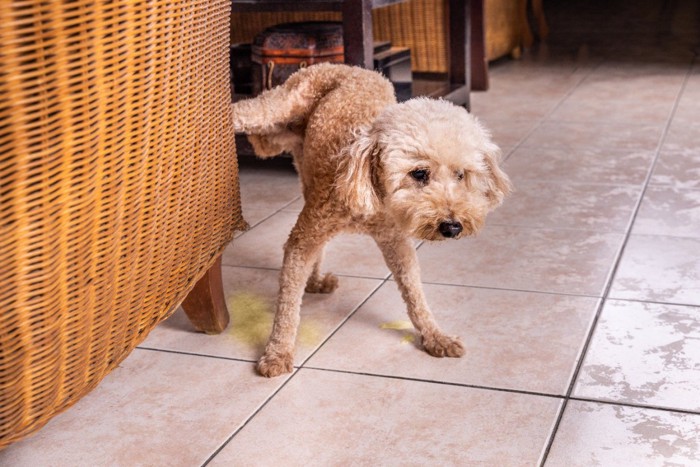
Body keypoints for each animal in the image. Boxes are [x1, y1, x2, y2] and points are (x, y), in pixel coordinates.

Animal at [232, 63, 512, 376]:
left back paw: (315, 281)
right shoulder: (304, 239)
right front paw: (278, 352)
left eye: (461, 175)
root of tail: (345, 66)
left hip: (304, 169)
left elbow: (415, 294)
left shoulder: (395, 243)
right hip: (282, 105)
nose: (452, 226)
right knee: (246, 110)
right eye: (419, 173)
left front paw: (435, 335)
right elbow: (288, 305)